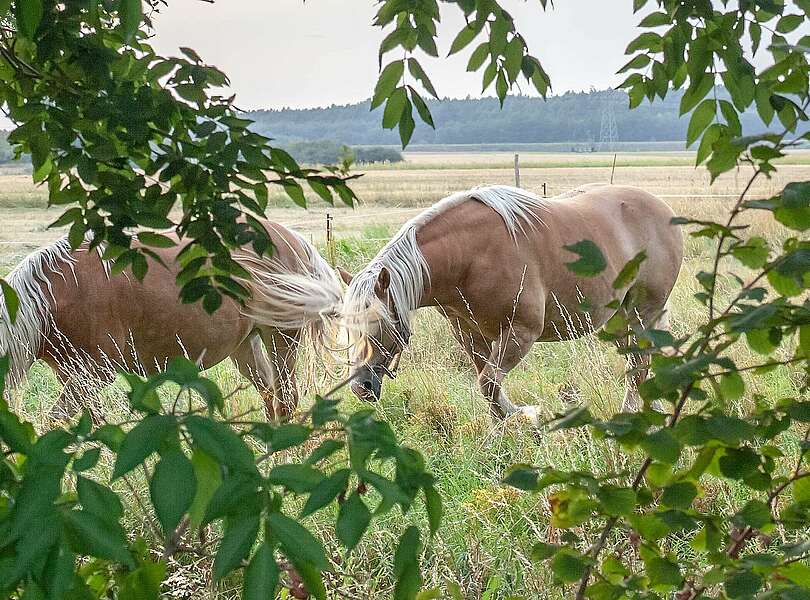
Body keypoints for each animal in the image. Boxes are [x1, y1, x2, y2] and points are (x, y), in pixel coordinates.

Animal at [0, 220, 340, 422]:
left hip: (282, 338)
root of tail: (293, 239)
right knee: (270, 399)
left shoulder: (94, 374)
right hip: (245, 345)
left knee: (286, 401)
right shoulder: (73, 376)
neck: (53, 295)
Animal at [340, 185, 680, 424]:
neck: (470, 256)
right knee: (637, 363)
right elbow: (487, 387)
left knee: (639, 365)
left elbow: (490, 384)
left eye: (380, 325)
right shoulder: (470, 335)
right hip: (619, 318)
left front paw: (525, 415)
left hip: (643, 312)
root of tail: (664, 210)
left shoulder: (520, 333)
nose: (360, 386)